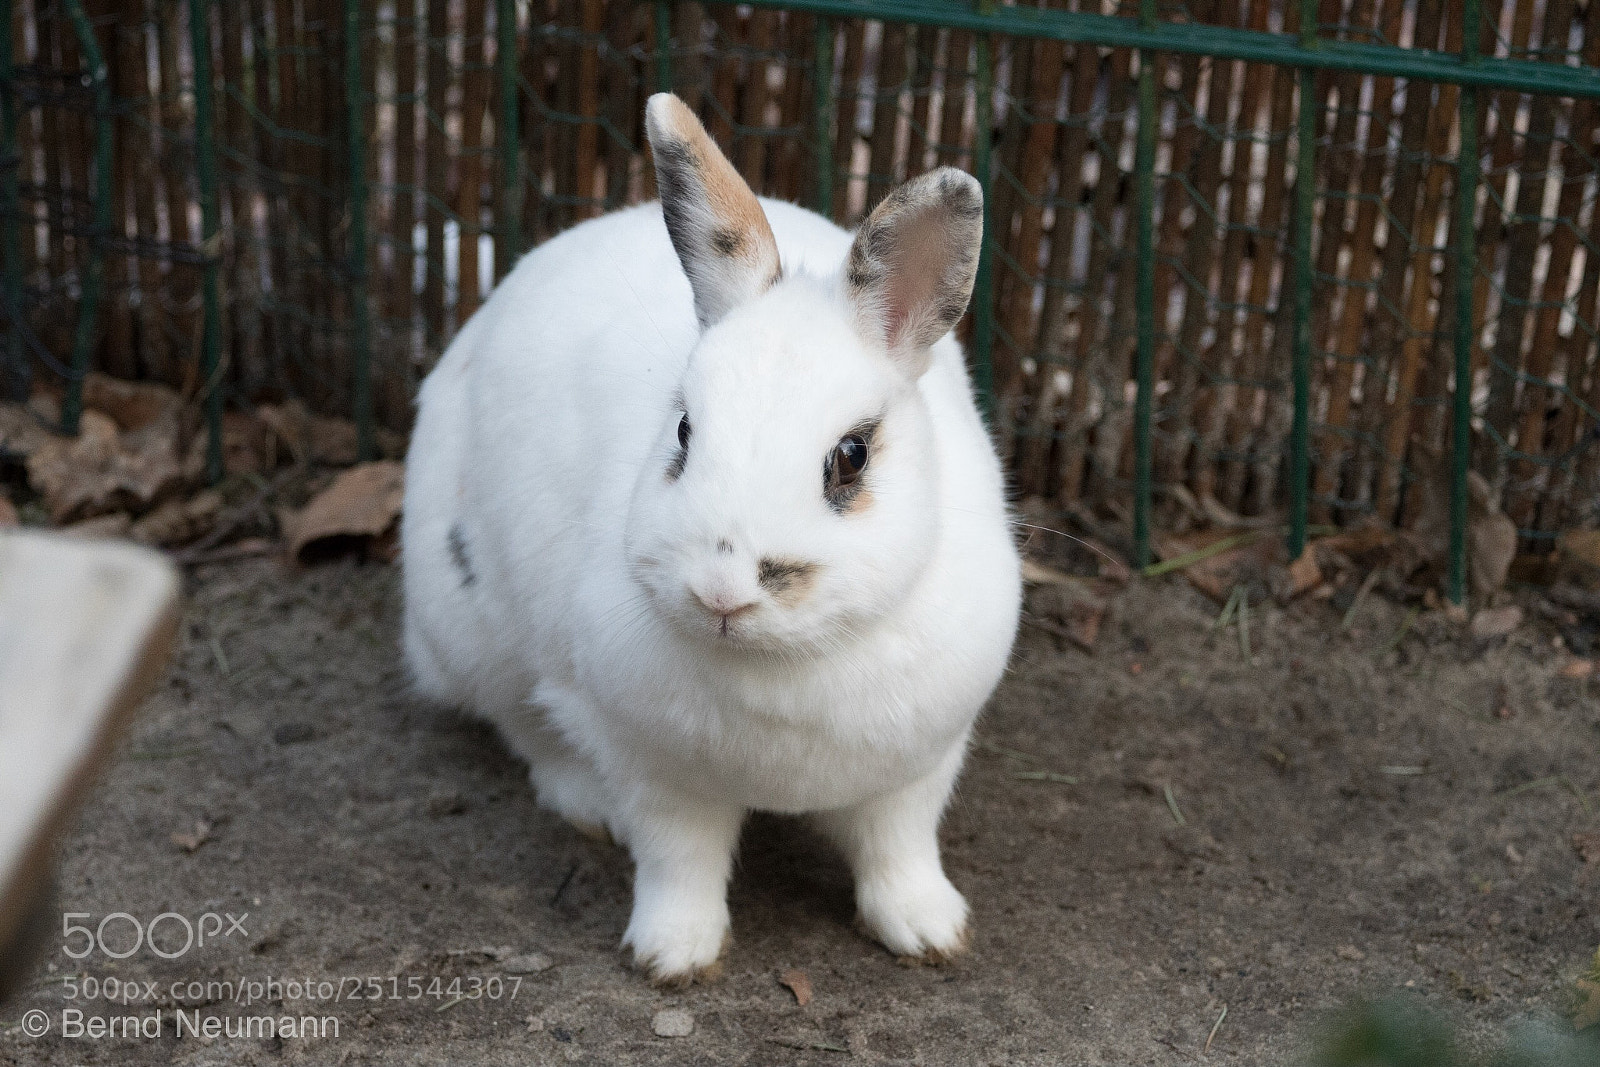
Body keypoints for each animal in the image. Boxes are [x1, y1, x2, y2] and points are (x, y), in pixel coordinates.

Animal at [401, 92, 1021, 985]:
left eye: (852, 455)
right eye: (684, 431)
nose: (723, 590)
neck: (784, 666)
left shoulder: (920, 767)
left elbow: (899, 848)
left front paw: (929, 930)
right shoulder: (655, 769)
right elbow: (678, 860)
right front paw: (672, 954)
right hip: (475, 629)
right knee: (523, 724)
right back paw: (586, 803)